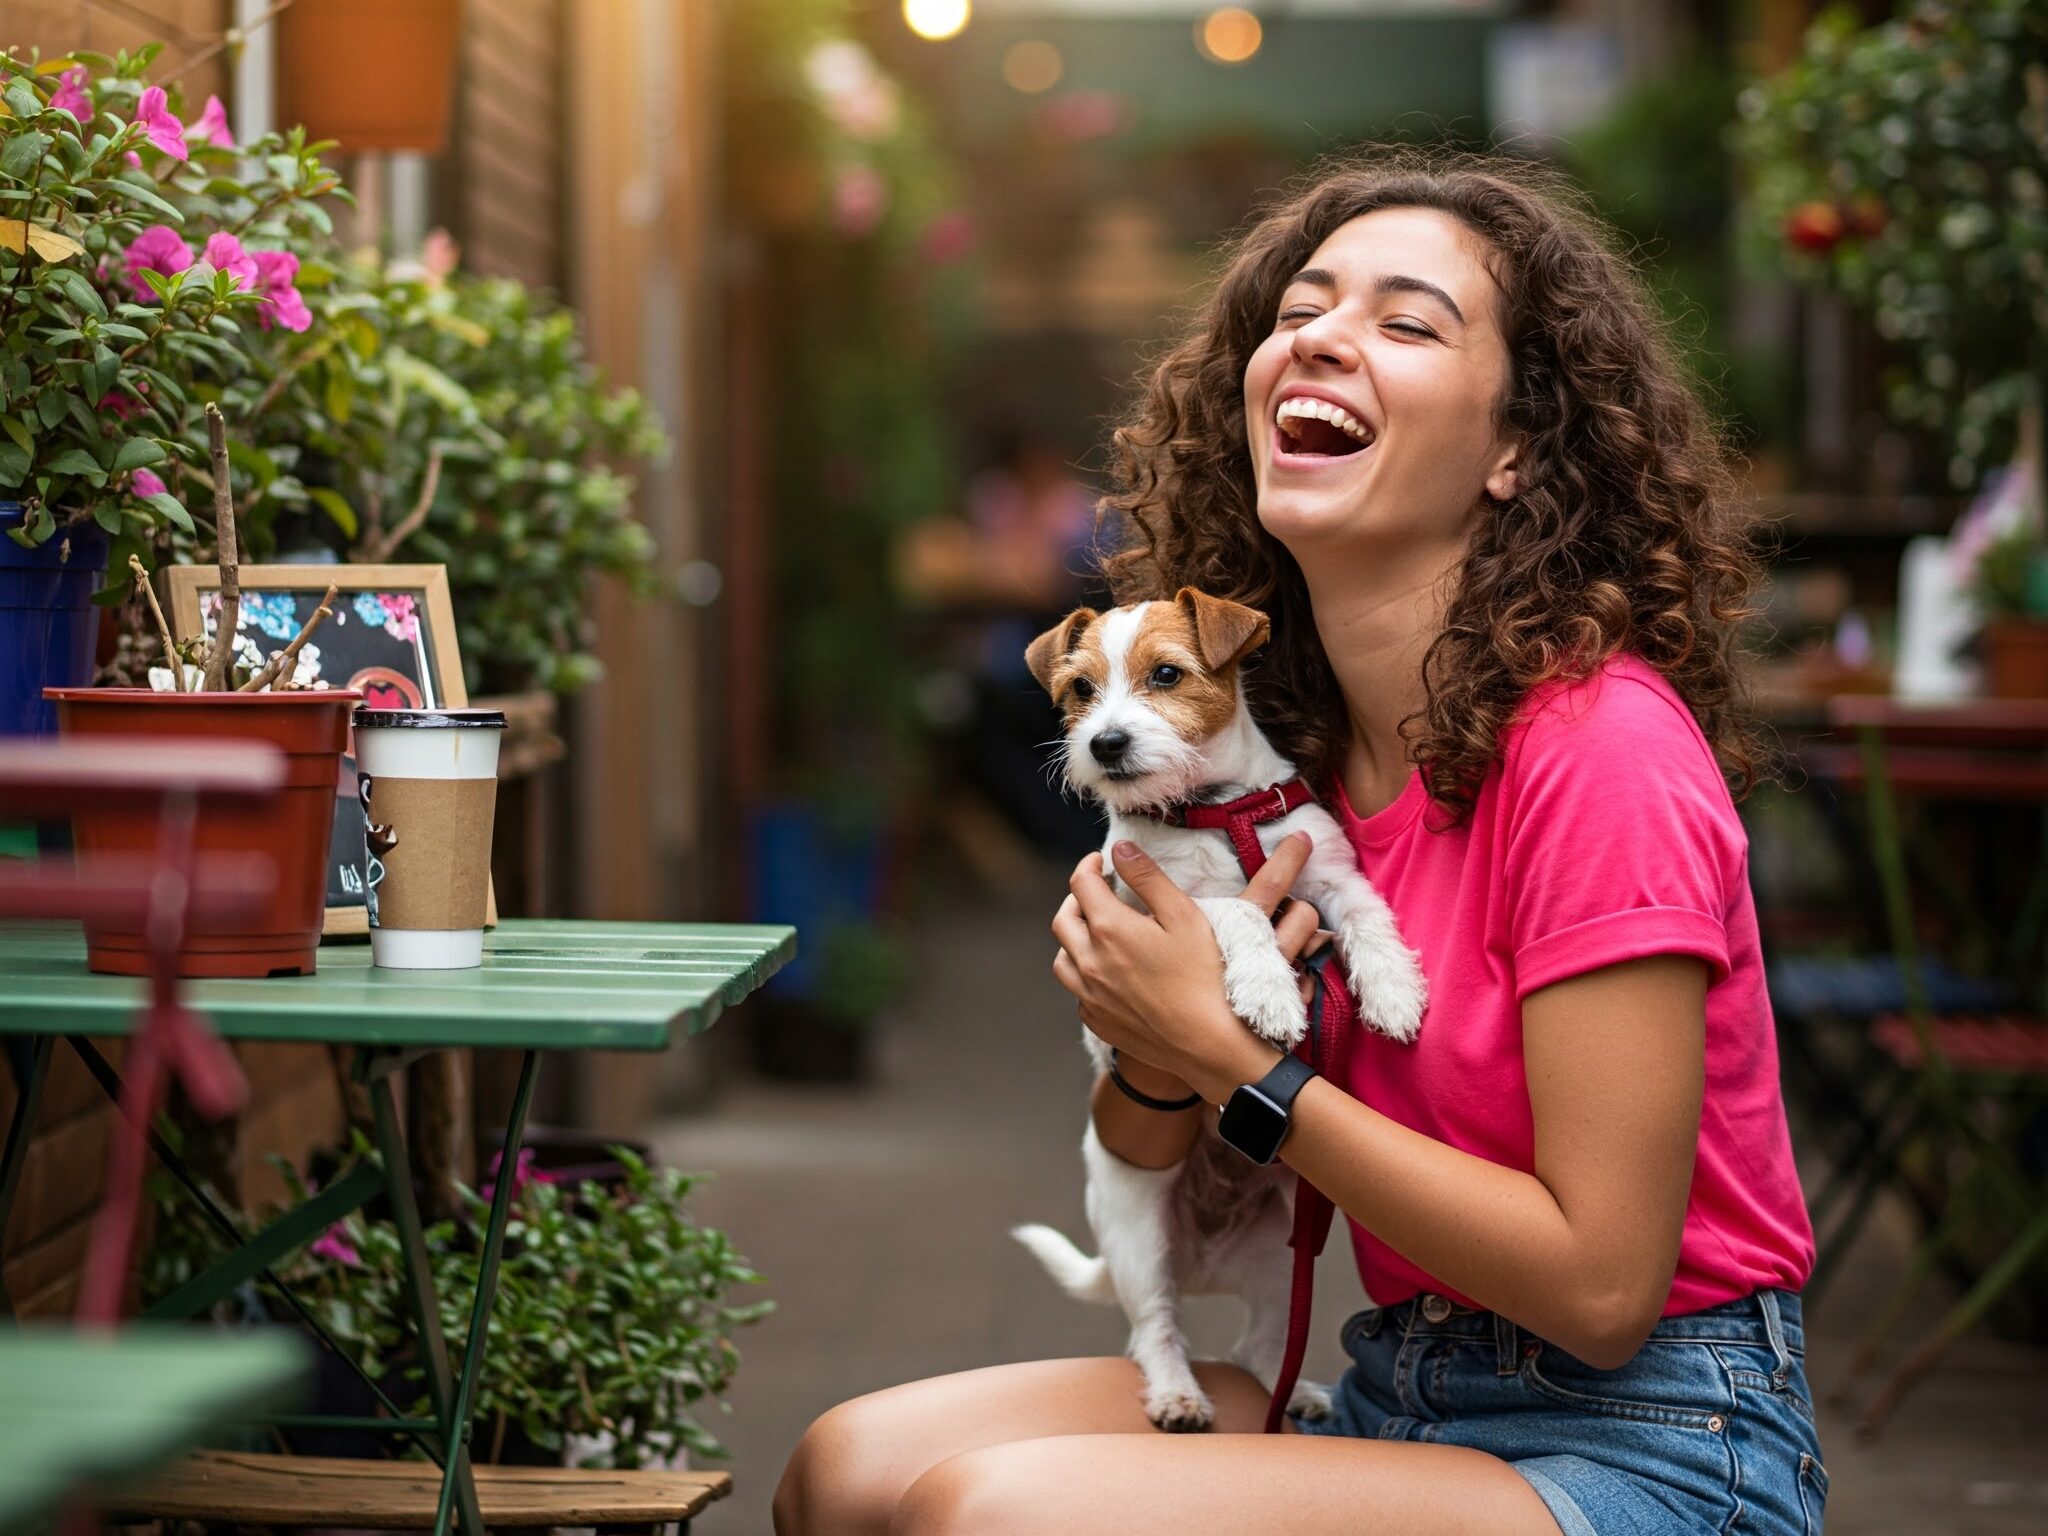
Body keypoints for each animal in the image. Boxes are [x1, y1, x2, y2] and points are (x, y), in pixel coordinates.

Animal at [1007, 593, 1425, 1441]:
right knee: (1156, 1330)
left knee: (1260, 1342)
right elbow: (1238, 910)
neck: (1216, 811)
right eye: (1079, 689)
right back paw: (1177, 1396)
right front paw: (1267, 990)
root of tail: (1207, 1260)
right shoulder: (1172, 908)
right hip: (1140, 1238)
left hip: (1286, 1247)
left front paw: (1395, 989)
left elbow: (1370, 917)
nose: (1104, 743)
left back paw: (1288, 1393)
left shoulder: (1329, 877)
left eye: (1167, 674)